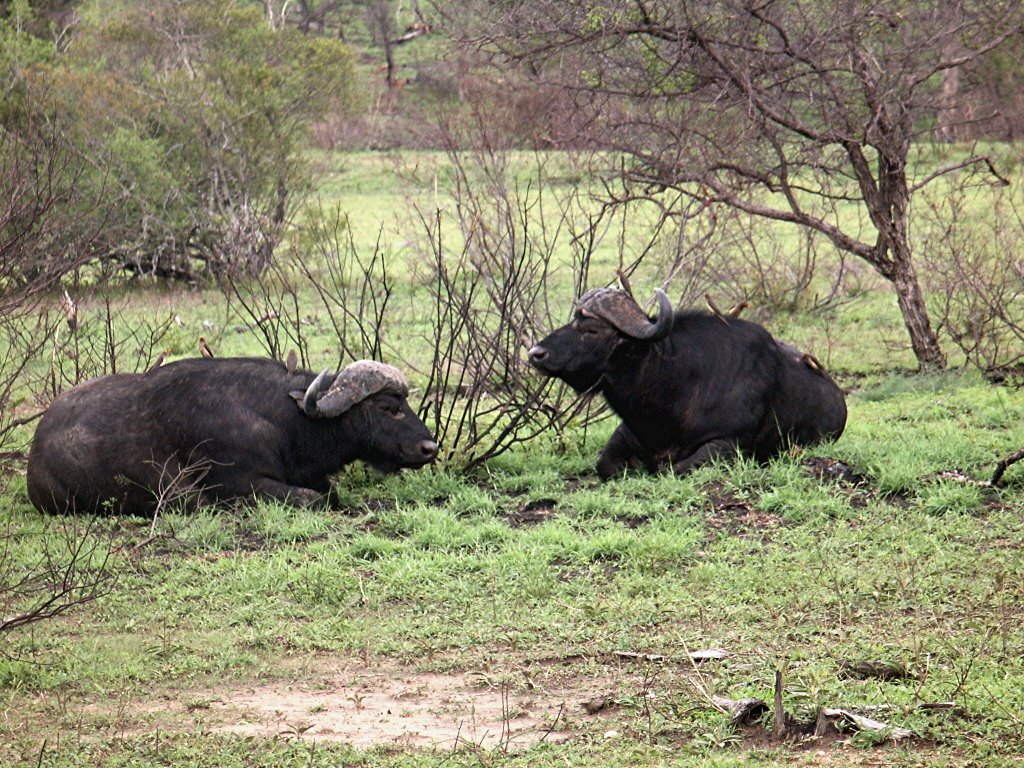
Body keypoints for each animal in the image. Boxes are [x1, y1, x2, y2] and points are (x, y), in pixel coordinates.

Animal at [28, 356, 436, 514]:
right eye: (388, 405)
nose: (429, 447)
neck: (285, 421)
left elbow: (330, 493)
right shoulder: (240, 483)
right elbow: (312, 498)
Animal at [528, 290, 847, 481]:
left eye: (592, 330)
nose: (535, 353)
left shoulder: (726, 444)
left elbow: (676, 468)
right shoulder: (625, 434)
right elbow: (605, 465)